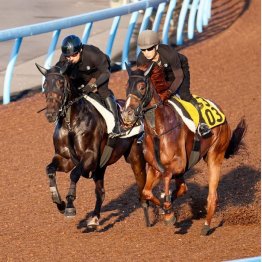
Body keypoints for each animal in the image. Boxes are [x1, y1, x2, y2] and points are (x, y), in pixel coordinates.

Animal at [35, 64, 148, 229]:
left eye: (61, 84)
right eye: (44, 85)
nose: (50, 114)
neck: (71, 123)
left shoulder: (90, 157)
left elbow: (74, 174)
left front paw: (69, 206)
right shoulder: (65, 159)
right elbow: (50, 170)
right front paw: (59, 202)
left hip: (134, 157)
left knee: (142, 180)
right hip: (101, 167)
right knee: (101, 192)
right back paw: (94, 218)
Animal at [122, 63, 247, 235]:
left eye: (141, 87)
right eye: (126, 87)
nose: (127, 114)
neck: (157, 131)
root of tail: (221, 112)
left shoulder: (177, 165)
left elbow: (167, 177)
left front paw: (168, 212)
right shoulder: (154, 168)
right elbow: (146, 192)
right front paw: (167, 209)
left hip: (215, 156)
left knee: (212, 195)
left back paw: (206, 226)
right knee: (182, 187)